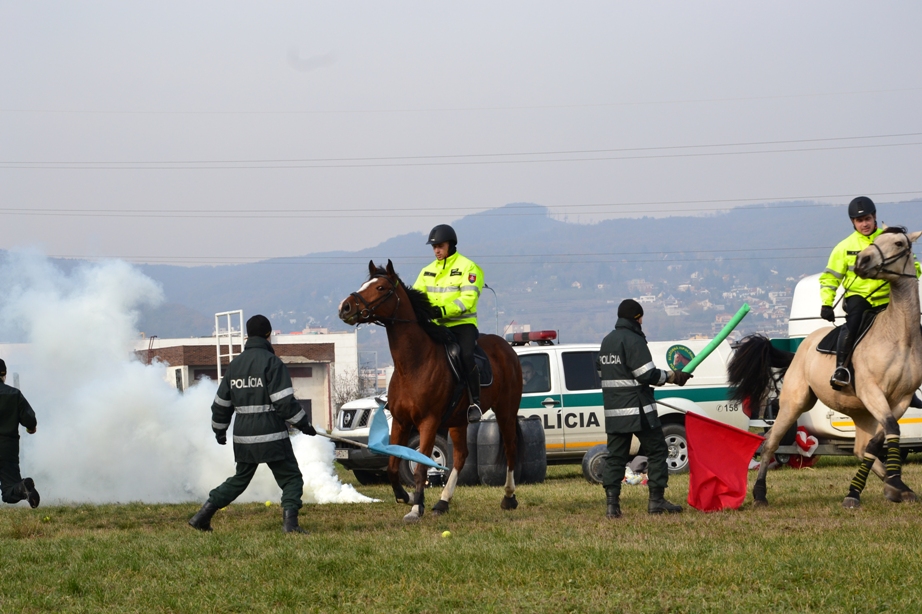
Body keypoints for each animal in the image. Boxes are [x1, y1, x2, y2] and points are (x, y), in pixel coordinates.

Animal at [336, 260, 520, 524]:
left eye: (381, 288)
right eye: (364, 284)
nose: (345, 307)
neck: (413, 364)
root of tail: (507, 347)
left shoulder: (428, 423)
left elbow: (421, 466)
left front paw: (415, 508)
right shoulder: (401, 422)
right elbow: (393, 466)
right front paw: (406, 496)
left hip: (506, 410)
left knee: (510, 448)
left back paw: (509, 497)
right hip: (458, 420)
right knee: (461, 455)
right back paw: (442, 502)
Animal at [724, 229, 920, 508]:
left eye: (898, 243)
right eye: (874, 242)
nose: (862, 261)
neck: (899, 336)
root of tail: (800, 349)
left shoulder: (900, 400)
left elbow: (879, 440)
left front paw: (896, 486)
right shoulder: (873, 392)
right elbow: (891, 430)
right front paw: (889, 485)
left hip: (861, 412)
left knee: (861, 448)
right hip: (795, 403)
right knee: (771, 442)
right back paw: (760, 494)